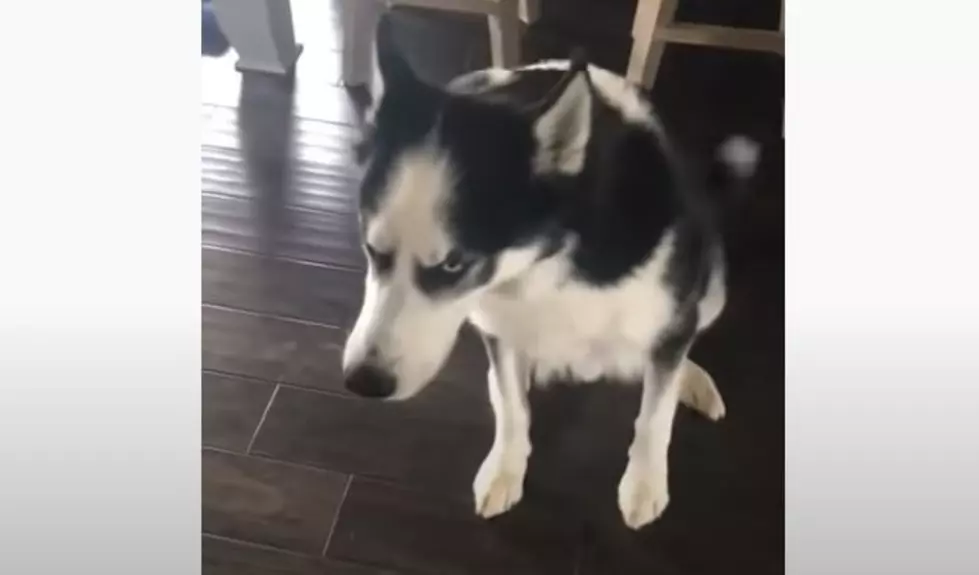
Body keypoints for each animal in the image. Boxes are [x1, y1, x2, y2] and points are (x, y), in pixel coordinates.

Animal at [340, 19, 760, 532]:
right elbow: (512, 405)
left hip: (712, 279)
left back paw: (689, 377)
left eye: (454, 263)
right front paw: (505, 467)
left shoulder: (670, 315)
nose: (363, 382)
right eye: (371, 248)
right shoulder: (498, 325)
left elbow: (654, 416)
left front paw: (644, 482)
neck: (549, 263)